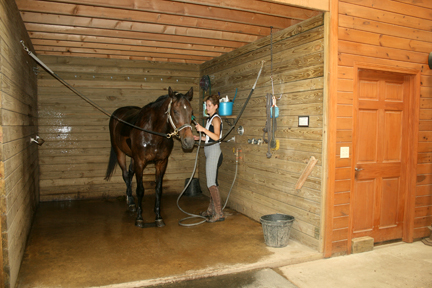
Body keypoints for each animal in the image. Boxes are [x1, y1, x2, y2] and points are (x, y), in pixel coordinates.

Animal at [104, 87, 194, 227]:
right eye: (175, 111)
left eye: (191, 111)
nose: (189, 141)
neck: (152, 133)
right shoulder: (140, 162)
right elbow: (140, 189)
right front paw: (139, 218)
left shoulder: (161, 162)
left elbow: (158, 189)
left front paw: (158, 216)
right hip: (120, 153)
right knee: (125, 175)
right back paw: (131, 203)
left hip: (132, 158)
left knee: (130, 174)